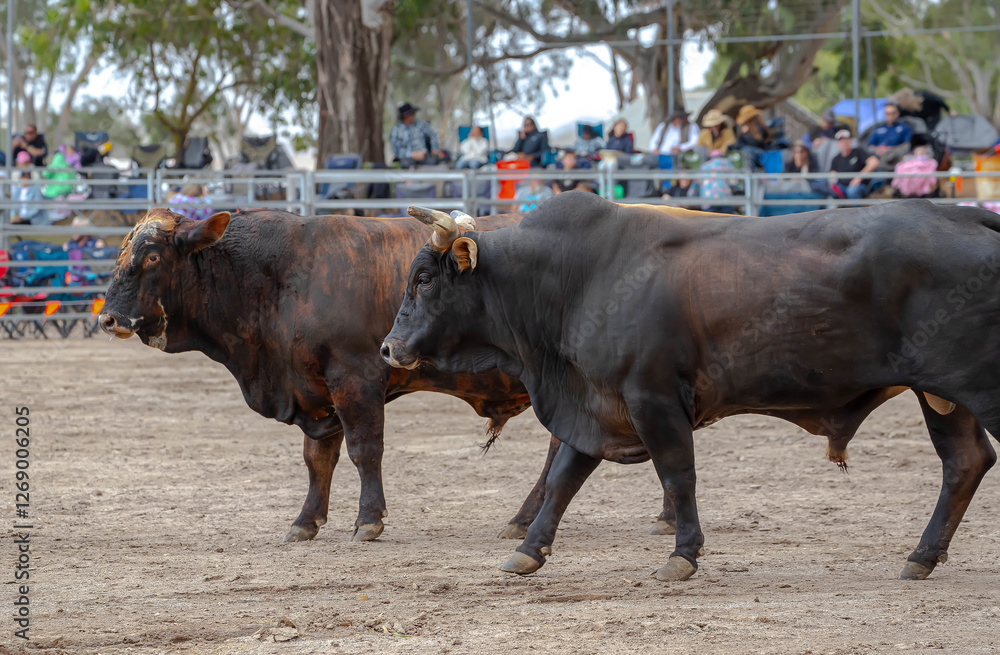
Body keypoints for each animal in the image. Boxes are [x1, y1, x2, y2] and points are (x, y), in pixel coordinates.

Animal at [98, 207, 582, 544]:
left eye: (153, 256)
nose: (107, 318)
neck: (279, 278)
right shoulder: (314, 390)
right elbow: (317, 460)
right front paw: (305, 521)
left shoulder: (356, 377)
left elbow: (364, 450)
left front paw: (368, 520)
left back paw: (524, 519)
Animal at [382, 193, 1000, 582]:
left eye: (425, 278)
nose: (388, 347)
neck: (577, 275)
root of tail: (966, 217)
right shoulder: (598, 407)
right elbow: (562, 481)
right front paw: (529, 551)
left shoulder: (653, 400)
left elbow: (678, 477)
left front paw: (684, 554)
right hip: (943, 396)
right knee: (965, 462)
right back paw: (921, 556)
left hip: (977, 387)